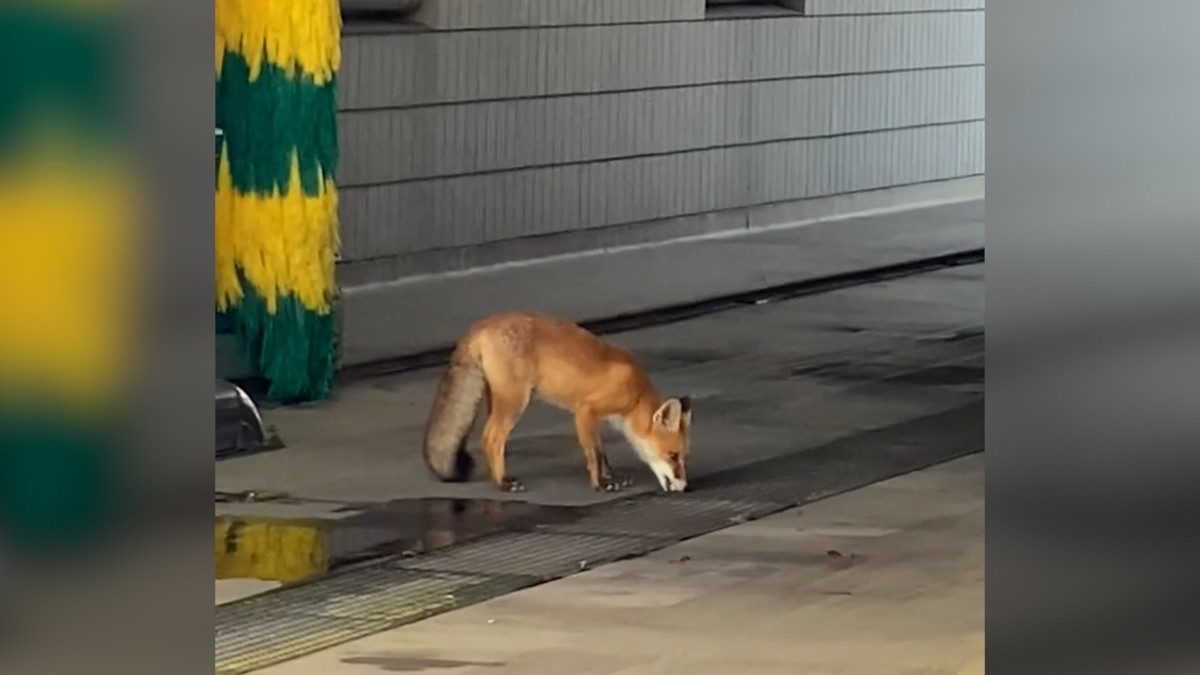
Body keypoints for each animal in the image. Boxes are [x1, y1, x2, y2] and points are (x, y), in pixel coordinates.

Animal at [422, 312, 693, 493]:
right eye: (673, 456)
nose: (685, 487)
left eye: (682, 457)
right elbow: (594, 455)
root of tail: (483, 324)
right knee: (491, 438)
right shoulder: (585, 411)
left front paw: (611, 476)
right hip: (515, 401)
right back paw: (503, 483)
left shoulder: (593, 419)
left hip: (497, 399)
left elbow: (601, 452)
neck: (636, 395)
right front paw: (600, 484)